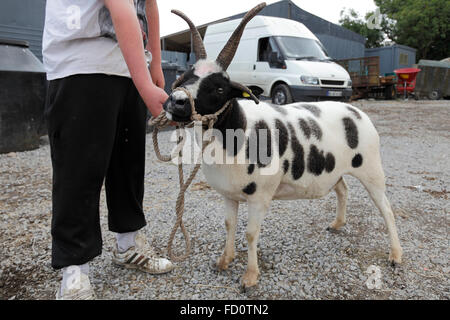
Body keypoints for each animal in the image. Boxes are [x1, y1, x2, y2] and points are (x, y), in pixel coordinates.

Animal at [163, 2, 402, 288]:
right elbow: (229, 225)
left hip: (371, 168)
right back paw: (337, 224)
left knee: (386, 209)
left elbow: (251, 233)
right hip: (335, 169)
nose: (176, 102)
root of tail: (357, 111)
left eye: (220, 88)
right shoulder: (229, 194)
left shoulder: (261, 195)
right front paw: (223, 261)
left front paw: (250, 277)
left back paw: (396, 255)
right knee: (343, 190)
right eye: (185, 78)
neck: (239, 134)